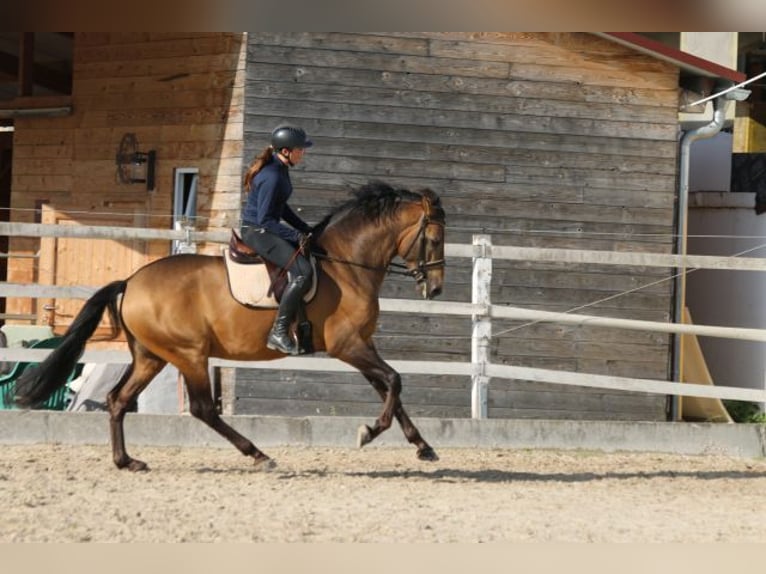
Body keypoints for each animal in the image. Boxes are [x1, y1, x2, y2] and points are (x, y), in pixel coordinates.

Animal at [12, 181, 448, 472]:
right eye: (434, 237)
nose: (436, 287)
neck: (346, 264)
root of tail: (131, 282)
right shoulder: (347, 346)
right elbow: (393, 381)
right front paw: (369, 432)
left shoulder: (362, 345)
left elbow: (390, 387)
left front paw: (423, 447)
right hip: (189, 354)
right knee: (203, 408)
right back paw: (258, 454)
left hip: (151, 356)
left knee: (118, 400)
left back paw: (126, 461)